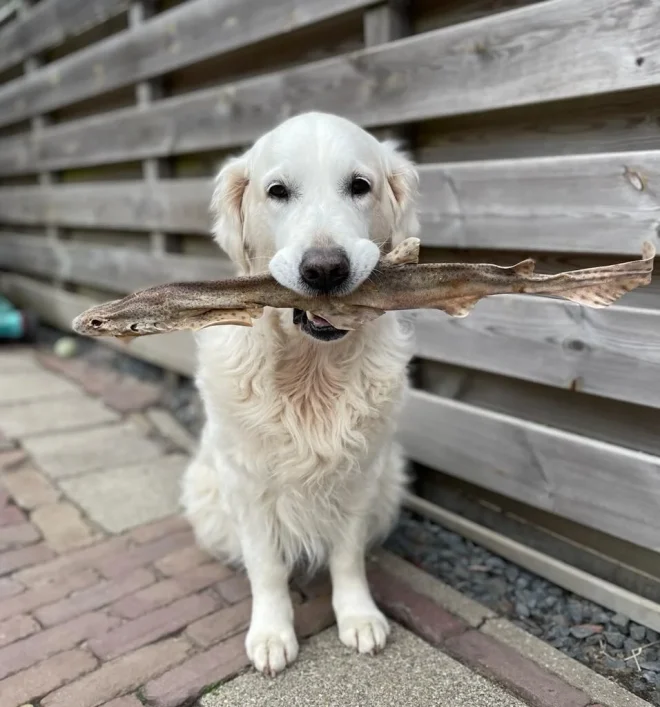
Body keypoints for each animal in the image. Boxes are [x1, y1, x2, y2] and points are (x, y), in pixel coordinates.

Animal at [180, 110, 418, 676]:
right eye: (277, 191)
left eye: (360, 186)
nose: (326, 268)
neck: (311, 369)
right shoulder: (245, 482)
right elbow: (266, 565)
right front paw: (271, 634)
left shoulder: (362, 473)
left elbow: (348, 556)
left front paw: (358, 617)